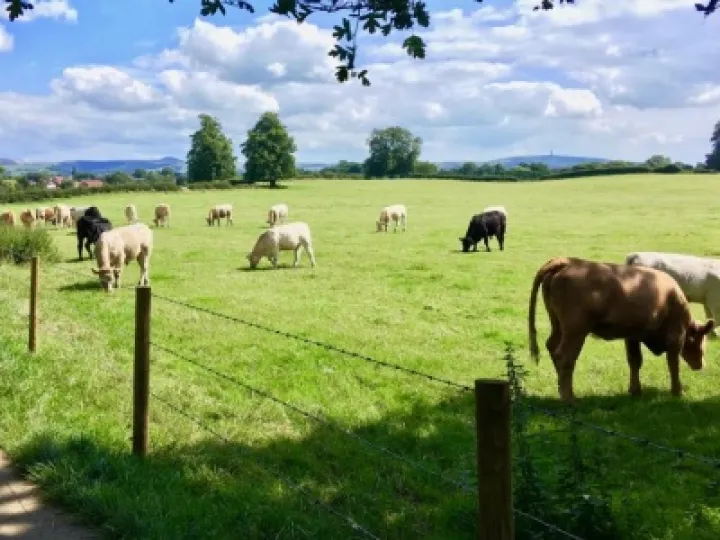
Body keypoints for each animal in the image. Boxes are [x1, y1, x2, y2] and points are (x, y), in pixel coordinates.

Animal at [527, 256, 715, 403]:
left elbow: (635, 360)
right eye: (701, 341)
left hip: (558, 325)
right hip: (576, 331)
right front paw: (678, 391)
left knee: (552, 346)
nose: (701, 365)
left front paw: (635, 390)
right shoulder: (676, 335)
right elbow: (673, 363)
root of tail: (568, 261)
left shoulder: (632, 335)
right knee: (565, 357)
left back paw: (561, 388)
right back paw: (569, 398)